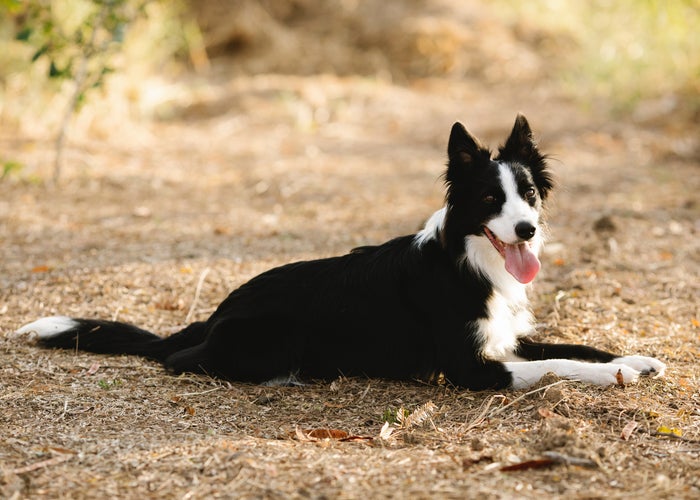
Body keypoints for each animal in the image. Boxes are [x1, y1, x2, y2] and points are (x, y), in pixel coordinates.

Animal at [13, 116, 664, 390]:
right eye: (488, 199)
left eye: (528, 193)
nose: (526, 230)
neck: (467, 260)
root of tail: (218, 310)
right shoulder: (469, 367)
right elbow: (562, 364)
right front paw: (614, 374)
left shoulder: (505, 336)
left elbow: (573, 344)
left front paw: (635, 358)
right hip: (267, 339)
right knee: (181, 361)